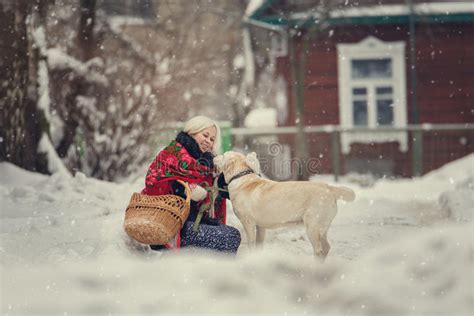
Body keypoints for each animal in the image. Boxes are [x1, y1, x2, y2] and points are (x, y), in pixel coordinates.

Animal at [213, 151, 354, 260]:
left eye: (223, 154)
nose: (214, 155)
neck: (240, 178)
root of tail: (330, 188)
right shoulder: (260, 227)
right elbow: (259, 245)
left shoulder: (248, 223)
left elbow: (251, 244)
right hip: (322, 228)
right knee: (326, 248)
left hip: (313, 226)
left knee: (319, 251)